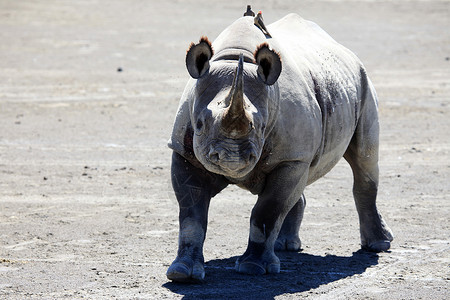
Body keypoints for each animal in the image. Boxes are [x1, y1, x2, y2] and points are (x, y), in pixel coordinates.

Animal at [166, 11, 394, 282]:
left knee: (364, 160)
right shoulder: (184, 152)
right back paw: (285, 246)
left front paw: (253, 268)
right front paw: (183, 272)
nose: (231, 158)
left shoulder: (292, 157)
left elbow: (269, 209)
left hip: (363, 81)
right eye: (199, 124)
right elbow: (191, 213)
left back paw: (378, 245)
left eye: (262, 126)